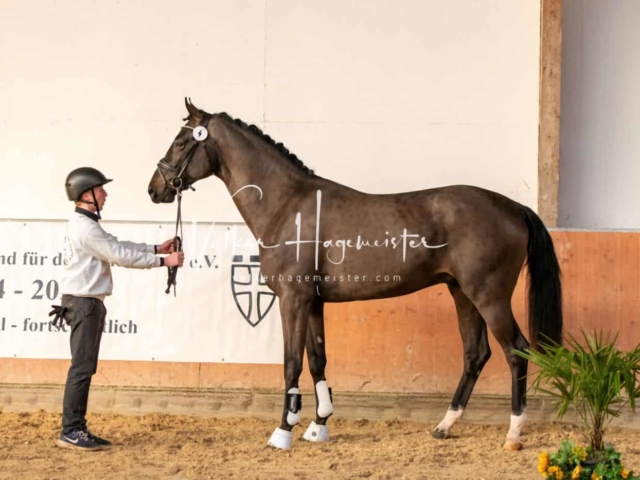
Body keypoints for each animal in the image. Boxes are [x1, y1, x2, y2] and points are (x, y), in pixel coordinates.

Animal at [148, 99, 564, 452]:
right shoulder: (312, 302)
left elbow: (291, 363)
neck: (287, 205)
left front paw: (283, 431)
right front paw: (318, 425)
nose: (154, 189)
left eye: (182, 141)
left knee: (516, 350)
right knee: (476, 354)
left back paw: (513, 433)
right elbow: (318, 360)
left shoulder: (293, 301)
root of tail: (514, 207)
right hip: (462, 293)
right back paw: (444, 426)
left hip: (489, 296)